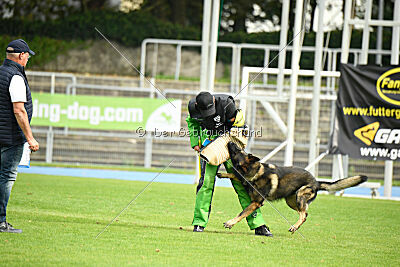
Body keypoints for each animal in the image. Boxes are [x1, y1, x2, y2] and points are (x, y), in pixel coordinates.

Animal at [217, 143, 368, 233]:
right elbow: (235, 175)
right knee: (305, 214)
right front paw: (223, 174)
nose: (230, 142)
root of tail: (316, 182)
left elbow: (242, 213)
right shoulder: (244, 180)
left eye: (238, 150)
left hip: (299, 196)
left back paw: (294, 226)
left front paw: (230, 222)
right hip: (291, 201)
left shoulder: (256, 203)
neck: (255, 172)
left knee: (303, 214)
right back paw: (297, 226)